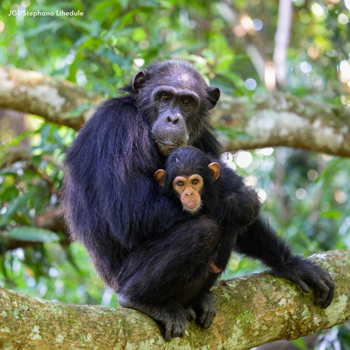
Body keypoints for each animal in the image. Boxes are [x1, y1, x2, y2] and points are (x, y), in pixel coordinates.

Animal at [64, 60, 334, 342]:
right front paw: (241, 203)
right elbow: (130, 212)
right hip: (124, 277)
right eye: (164, 97)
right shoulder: (118, 127)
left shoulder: (204, 137)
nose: (173, 118)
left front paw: (291, 265)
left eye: (186, 102)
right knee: (203, 230)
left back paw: (199, 300)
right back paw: (140, 300)